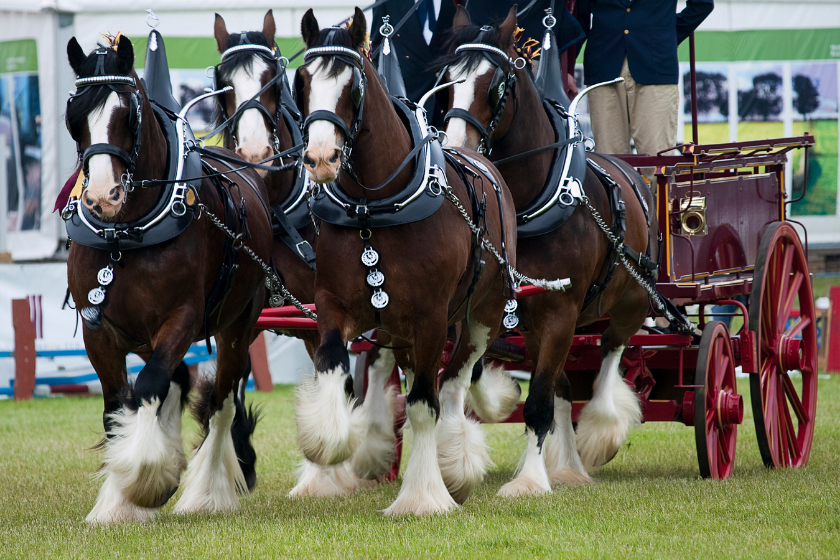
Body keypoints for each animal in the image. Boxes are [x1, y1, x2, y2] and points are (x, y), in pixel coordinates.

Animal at [69, 37, 272, 524]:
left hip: (237, 324)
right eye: (75, 116)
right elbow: (116, 404)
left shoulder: (183, 316)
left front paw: (144, 479)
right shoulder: (98, 326)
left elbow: (149, 386)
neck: (126, 237)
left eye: (127, 113)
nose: (102, 197)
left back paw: (206, 490)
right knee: (179, 380)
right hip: (143, 333)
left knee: (221, 397)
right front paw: (116, 500)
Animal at [294, 9, 520, 516]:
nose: (320, 159)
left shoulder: (432, 315)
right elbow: (334, 364)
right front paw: (329, 444)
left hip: (483, 313)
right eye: (302, 81)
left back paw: (455, 462)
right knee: (412, 374)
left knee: (452, 385)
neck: (373, 211)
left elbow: (423, 405)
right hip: (399, 328)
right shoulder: (334, 304)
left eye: (352, 86)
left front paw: (423, 496)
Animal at [436, 7, 660, 494]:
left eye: (497, 85)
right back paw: (569, 465)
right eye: (447, 82)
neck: (529, 206)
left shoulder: (561, 310)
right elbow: (480, 374)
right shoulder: (499, 308)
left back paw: (601, 431)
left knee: (610, 352)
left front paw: (528, 482)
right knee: (563, 384)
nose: (457, 150)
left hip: (630, 301)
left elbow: (539, 403)